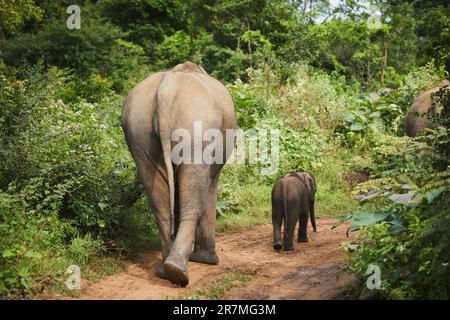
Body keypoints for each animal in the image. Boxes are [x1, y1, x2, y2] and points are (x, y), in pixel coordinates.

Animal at [121, 61, 237, 286]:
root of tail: (165, 91)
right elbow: (210, 185)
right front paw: (208, 261)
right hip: (195, 126)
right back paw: (179, 272)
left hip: (138, 131)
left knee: (159, 199)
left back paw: (166, 271)